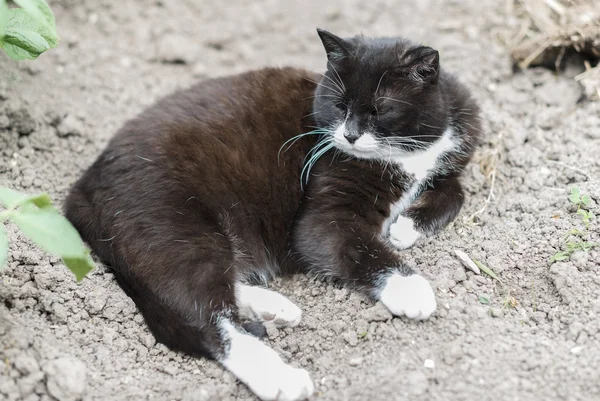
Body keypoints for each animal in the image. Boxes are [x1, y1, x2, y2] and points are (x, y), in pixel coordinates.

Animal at [63, 28, 480, 400]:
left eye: (381, 109)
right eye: (339, 106)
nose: (348, 136)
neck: (412, 153)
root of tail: (80, 190)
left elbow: (456, 190)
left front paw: (407, 227)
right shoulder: (324, 212)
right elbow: (354, 245)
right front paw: (409, 286)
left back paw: (274, 308)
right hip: (176, 229)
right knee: (205, 318)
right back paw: (280, 377)